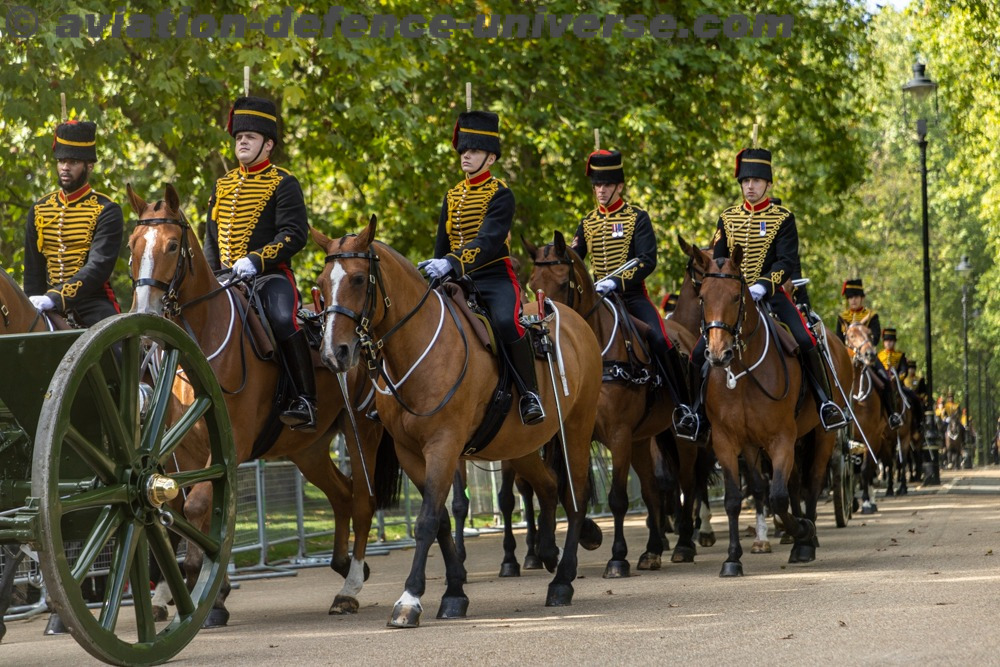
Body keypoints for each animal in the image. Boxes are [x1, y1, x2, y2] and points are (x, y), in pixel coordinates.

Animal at [127, 185, 400, 624]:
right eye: (133, 245)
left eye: (171, 245)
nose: (145, 312)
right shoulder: (185, 449)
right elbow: (185, 509)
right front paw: (199, 591)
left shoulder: (232, 443)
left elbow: (201, 505)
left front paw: (200, 584)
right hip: (307, 449)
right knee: (341, 495)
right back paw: (342, 564)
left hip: (363, 432)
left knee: (362, 499)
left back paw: (350, 586)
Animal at [312, 217, 600, 628]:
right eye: (321, 282)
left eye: (357, 279)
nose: (334, 353)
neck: (416, 350)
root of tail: (572, 318)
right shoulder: (411, 453)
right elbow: (444, 519)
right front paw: (454, 592)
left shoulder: (444, 445)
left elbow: (428, 520)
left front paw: (410, 599)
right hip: (519, 444)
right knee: (547, 485)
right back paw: (546, 554)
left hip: (576, 427)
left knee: (575, 496)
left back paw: (562, 581)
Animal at [524, 231, 712, 576]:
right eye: (532, 284)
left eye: (563, 282)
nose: (544, 335)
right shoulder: (571, 434)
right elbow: (565, 489)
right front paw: (582, 537)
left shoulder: (618, 434)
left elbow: (618, 498)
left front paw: (617, 557)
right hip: (642, 439)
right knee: (653, 490)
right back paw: (652, 550)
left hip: (678, 439)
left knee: (687, 482)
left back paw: (683, 544)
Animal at [684, 240, 856, 576]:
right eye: (703, 297)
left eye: (736, 296)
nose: (718, 355)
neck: (741, 373)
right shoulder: (726, 441)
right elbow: (736, 498)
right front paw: (732, 558)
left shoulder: (781, 439)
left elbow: (778, 497)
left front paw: (801, 531)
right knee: (788, 484)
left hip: (822, 435)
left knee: (812, 483)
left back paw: (806, 540)